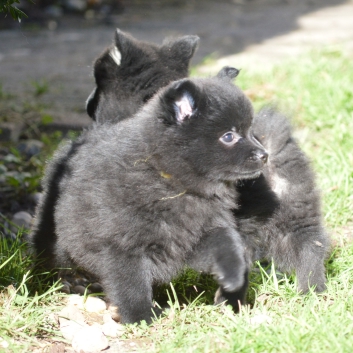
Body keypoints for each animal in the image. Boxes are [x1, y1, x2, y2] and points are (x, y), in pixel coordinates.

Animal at [34, 75, 268, 324]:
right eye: (229, 136)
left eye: (251, 132)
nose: (265, 155)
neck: (172, 181)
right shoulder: (121, 245)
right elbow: (131, 284)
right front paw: (141, 317)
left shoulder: (195, 234)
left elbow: (226, 243)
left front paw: (234, 277)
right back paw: (67, 281)